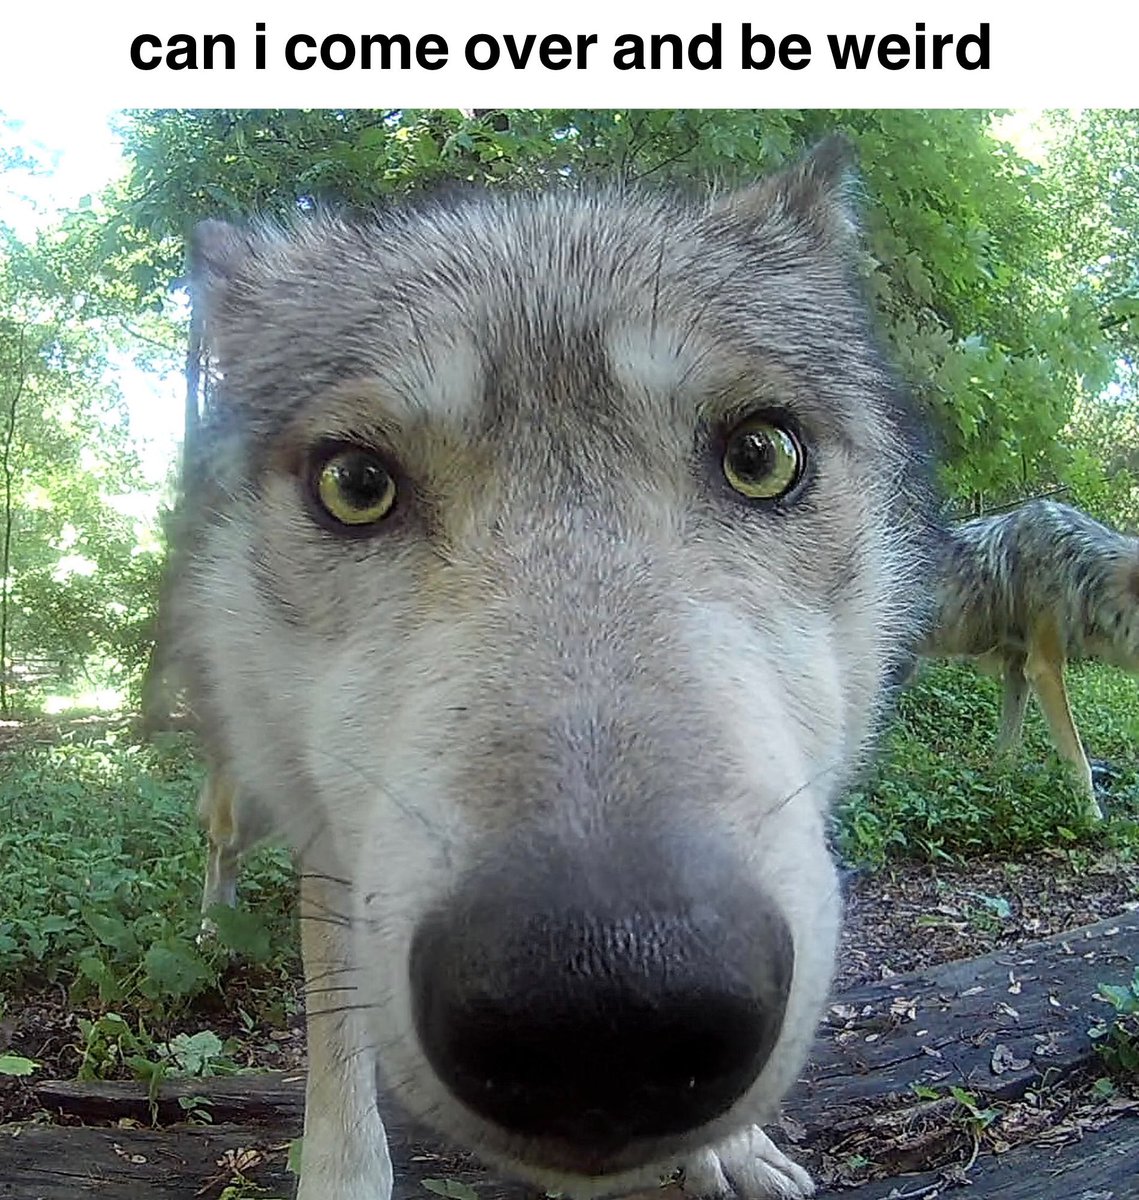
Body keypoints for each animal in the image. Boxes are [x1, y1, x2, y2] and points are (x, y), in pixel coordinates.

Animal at [165, 139, 935, 1200]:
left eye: (761, 456)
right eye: (354, 486)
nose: (604, 1008)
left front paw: (733, 1152)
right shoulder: (333, 849)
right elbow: (336, 1027)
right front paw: (341, 1174)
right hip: (249, 772)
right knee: (221, 837)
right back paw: (209, 931)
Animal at [920, 498, 1139, 821]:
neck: (1082, 569)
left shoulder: (1017, 665)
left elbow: (1007, 750)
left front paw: (1001, 794)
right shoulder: (1044, 667)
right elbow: (1077, 761)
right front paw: (1093, 819)